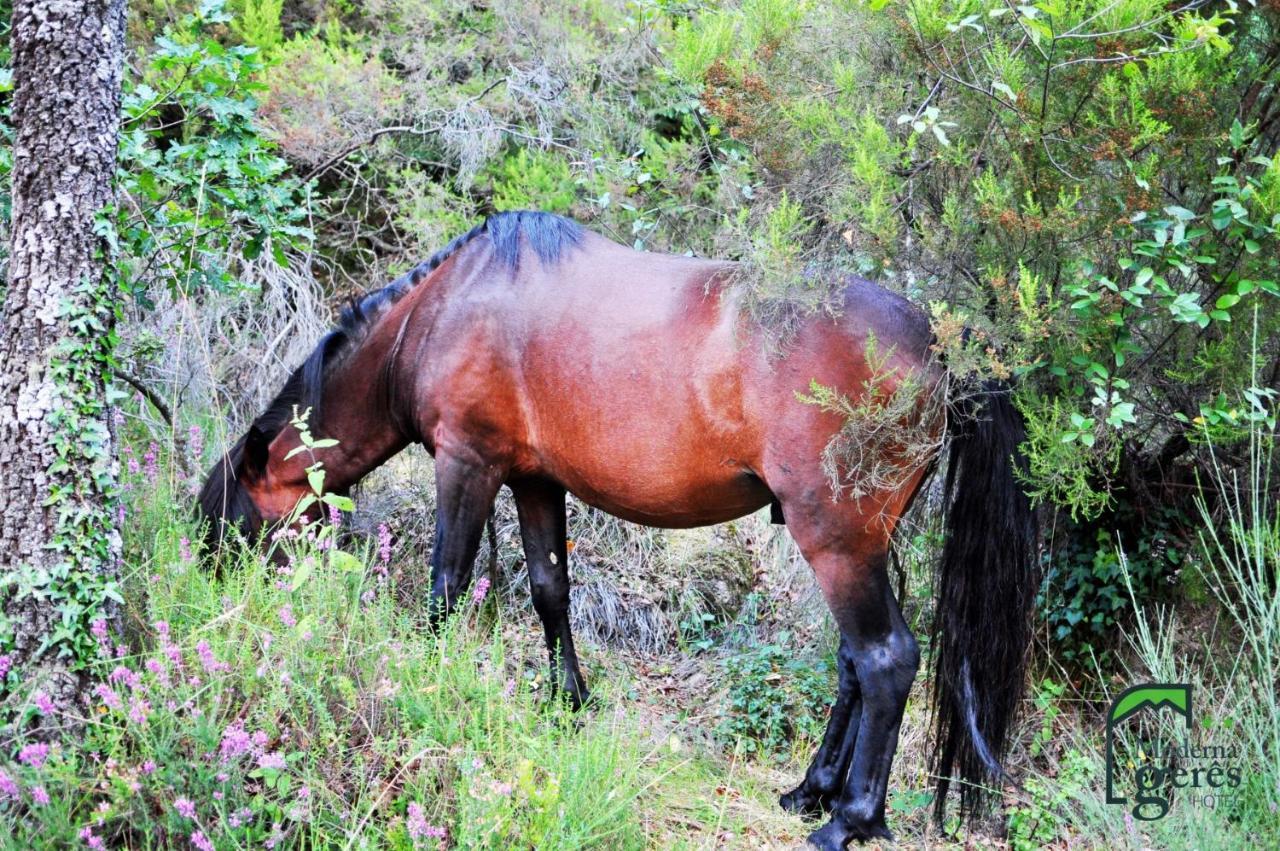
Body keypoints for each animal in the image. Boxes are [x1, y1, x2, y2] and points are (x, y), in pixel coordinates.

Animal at [199, 208, 1039, 844]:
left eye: (240, 529)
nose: (228, 614)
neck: (445, 310)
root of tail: (937, 342)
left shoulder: (467, 463)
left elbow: (446, 586)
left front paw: (426, 689)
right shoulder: (535, 479)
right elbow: (549, 590)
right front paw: (568, 702)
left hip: (835, 540)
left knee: (886, 658)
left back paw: (851, 818)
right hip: (860, 542)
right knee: (853, 662)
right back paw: (814, 788)